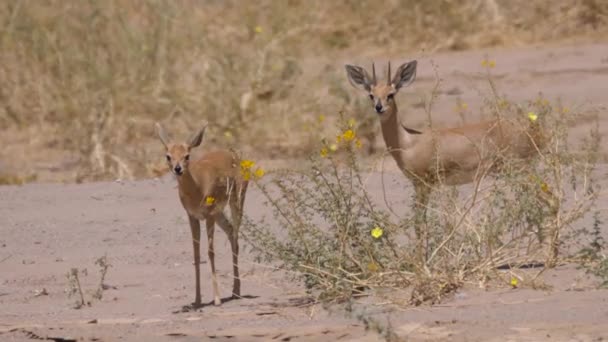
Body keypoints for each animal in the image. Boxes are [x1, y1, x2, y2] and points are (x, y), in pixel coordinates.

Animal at [156, 121, 248, 308]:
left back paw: (236, 291)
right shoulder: (193, 217)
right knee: (231, 232)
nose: (178, 169)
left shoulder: (209, 215)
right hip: (220, 214)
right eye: (168, 156)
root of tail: (234, 156)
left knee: (236, 238)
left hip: (236, 203)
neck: (197, 187)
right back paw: (235, 290)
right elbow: (196, 254)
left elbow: (210, 252)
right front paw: (197, 300)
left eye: (187, 155)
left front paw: (217, 298)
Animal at [344, 60, 544, 255]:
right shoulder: (418, 184)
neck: (408, 142)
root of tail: (530, 131)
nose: (379, 108)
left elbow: (420, 223)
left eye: (391, 94)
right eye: (371, 95)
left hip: (519, 168)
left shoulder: (424, 184)